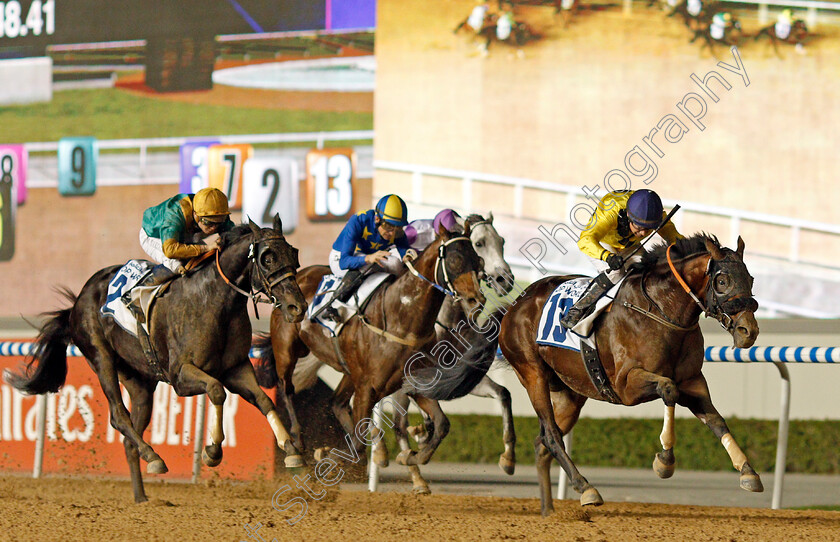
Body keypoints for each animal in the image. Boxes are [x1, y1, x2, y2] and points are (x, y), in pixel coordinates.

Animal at [4, 218, 306, 506]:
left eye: (293, 252)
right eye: (267, 257)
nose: (298, 307)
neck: (215, 300)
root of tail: (77, 302)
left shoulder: (236, 368)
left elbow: (263, 400)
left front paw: (291, 450)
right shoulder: (181, 376)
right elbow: (216, 391)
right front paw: (212, 451)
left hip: (140, 380)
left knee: (129, 436)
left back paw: (141, 495)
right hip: (101, 358)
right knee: (118, 415)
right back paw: (154, 457)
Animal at [260, 225, 486, 464]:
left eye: (477, 259)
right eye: (455, 259)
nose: (476, 300)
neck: (402, 320)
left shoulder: (413, 381)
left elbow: (442, 424)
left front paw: (413, 456)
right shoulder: (367, 387)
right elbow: (359, 443)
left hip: (350, 372)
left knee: (337, 402)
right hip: (286, 349)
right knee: (286, 388)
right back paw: (296, 441)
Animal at [496, 235, 764, 516]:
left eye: (750, 279)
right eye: (722, 280)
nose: (748, 331)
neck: (660, 310)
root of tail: (515, 305)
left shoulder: (693, 382)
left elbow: (716, 420)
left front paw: (748, 472)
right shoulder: (627, 386)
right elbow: (668, 389)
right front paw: (665, 462)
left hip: (570, 393)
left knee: (541, 443)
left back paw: (548, 510)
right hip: (532, 373)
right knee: (551, 435)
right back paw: (586, 488)